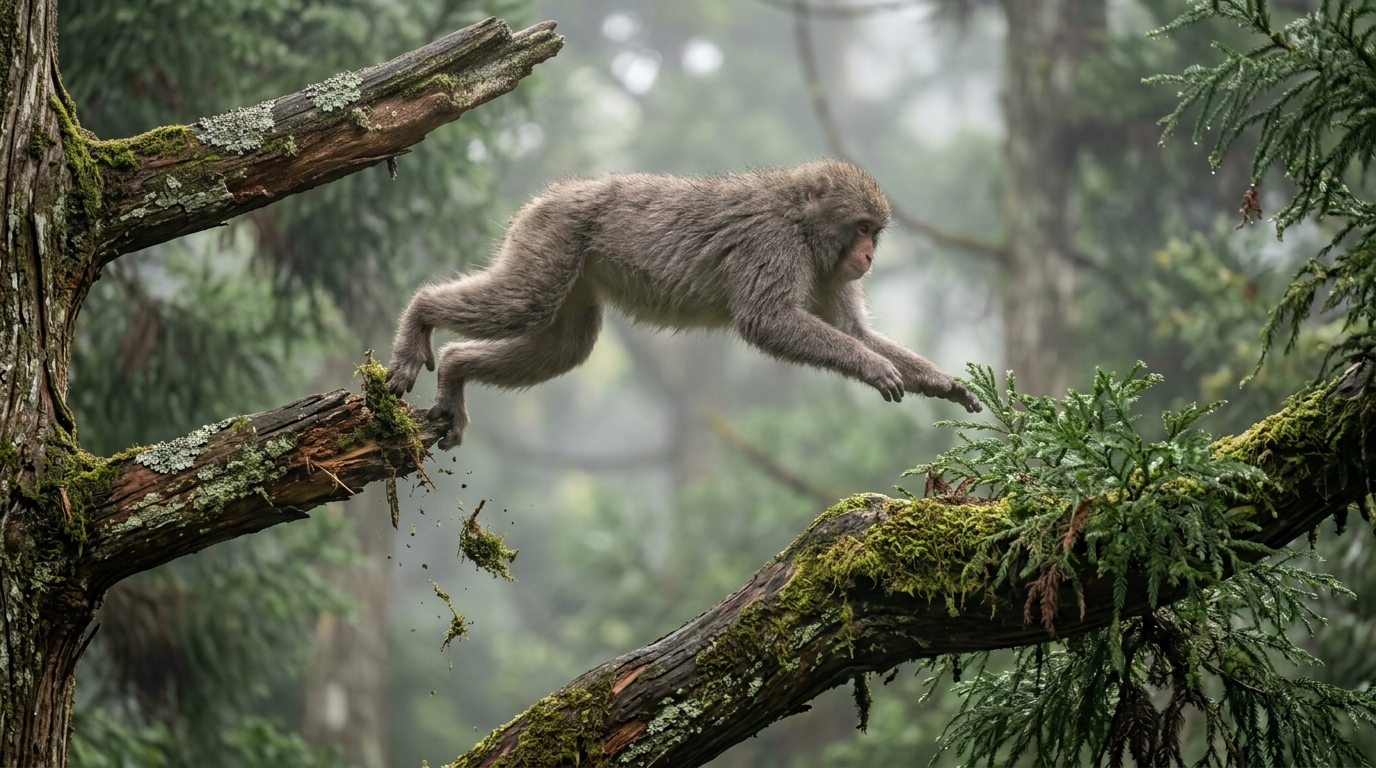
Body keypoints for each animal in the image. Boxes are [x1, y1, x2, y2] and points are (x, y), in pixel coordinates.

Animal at [387, 159, 983, 450]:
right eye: (861, 228)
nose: (868, 255)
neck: (799, 220)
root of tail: (554, 195)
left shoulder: (828, 273)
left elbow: (853, 331)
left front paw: (941, 383)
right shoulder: (772, 244)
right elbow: (766, 321)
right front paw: (872, 367)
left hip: (572, 263)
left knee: (566, 346)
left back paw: (456, 369)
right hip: (553, 235)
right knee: (522, 302)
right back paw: (419, 316)